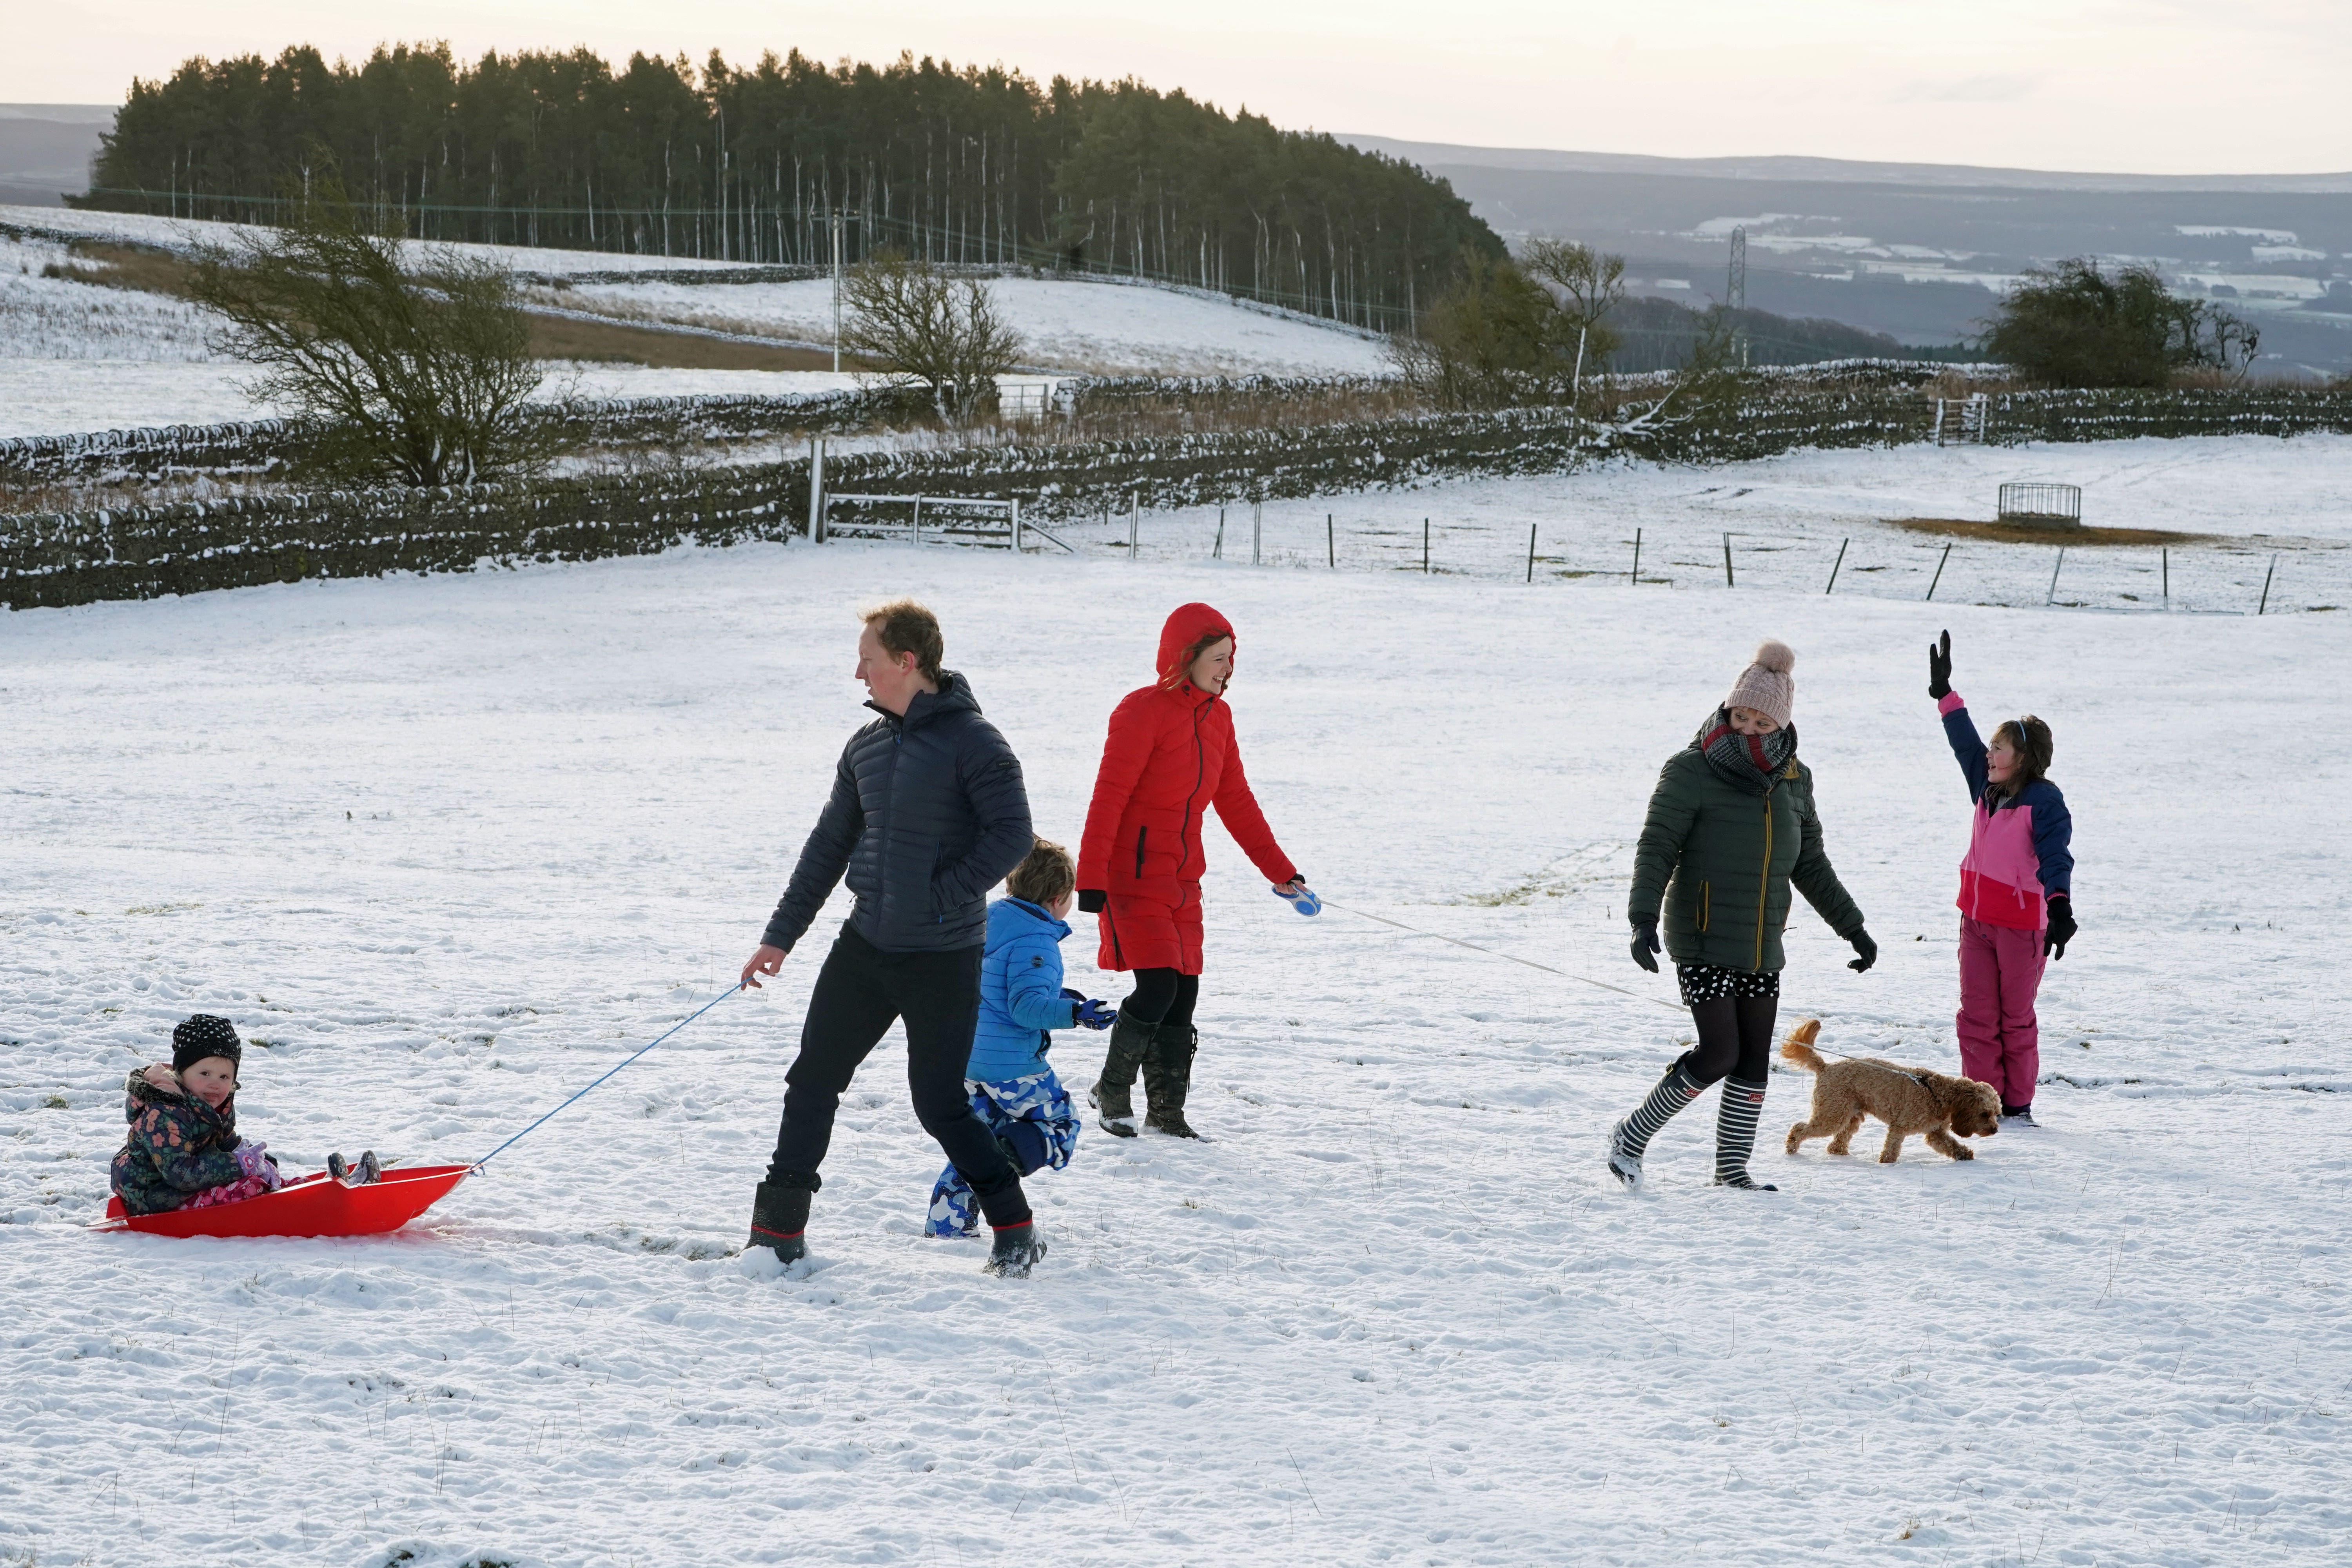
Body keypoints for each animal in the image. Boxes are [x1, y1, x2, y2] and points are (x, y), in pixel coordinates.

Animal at [1778, 1020, 2004, 1166]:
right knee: (1800, 1128)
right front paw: (1887, 1164)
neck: (1937, 1093)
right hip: (1833, 1113)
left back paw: (1839, 1153)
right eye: (1984, 1113)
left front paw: (1965, 1155)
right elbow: (1892, 1149)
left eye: (1997, 1113)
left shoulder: (1936, 1132)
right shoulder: (1900, 1126)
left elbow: (1949, 1145)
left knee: (1837, 1142)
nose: (1995, 1130)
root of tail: (1826, 1067)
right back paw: (1792, 1148)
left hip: (1851, 1114)